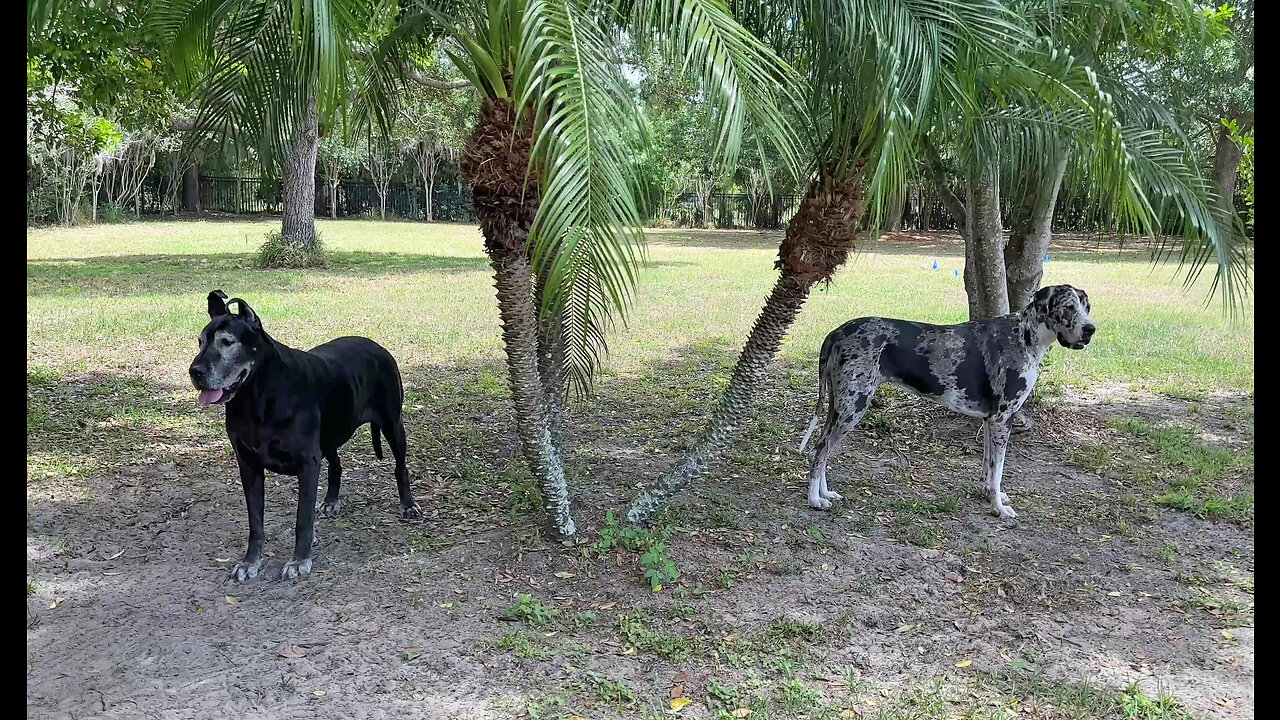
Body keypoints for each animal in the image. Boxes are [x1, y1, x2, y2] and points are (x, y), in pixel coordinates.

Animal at [189, 289, 419, 576]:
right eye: (200, 342)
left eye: (227, 342)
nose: (195, 371)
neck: (257, 396)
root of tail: (376, 345)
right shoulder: (249, 465)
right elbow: (256, 522)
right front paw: (250, 562)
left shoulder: (307, 464)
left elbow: (302, 518)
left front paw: (299, 560)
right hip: (331, 433)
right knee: (336, 464)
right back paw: (331, 500)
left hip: (392, 424)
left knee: (400, 466)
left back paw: (408, 504)